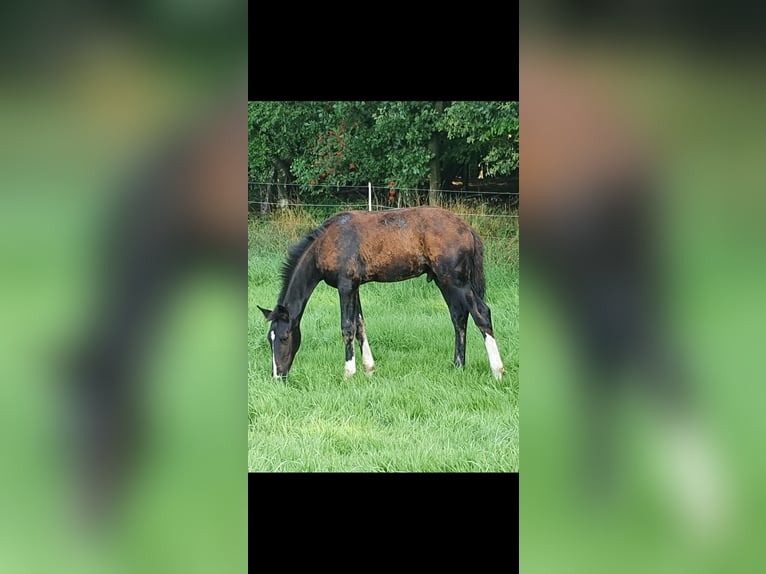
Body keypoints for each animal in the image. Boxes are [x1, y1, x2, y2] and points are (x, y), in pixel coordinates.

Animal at [258, 207, 508, 382]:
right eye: (269, 338)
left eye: (284, 337)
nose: (278, 376)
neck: (327, 242)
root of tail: (468, 229)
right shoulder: (355, 286)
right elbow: (360, 325)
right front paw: (369, 370)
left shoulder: (345, 286)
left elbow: (347, 327)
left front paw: (348, 373)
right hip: (444, 281)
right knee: (459, 317)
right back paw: (458, 366)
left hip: (456, 281)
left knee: (481, 313)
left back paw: (497, 371)